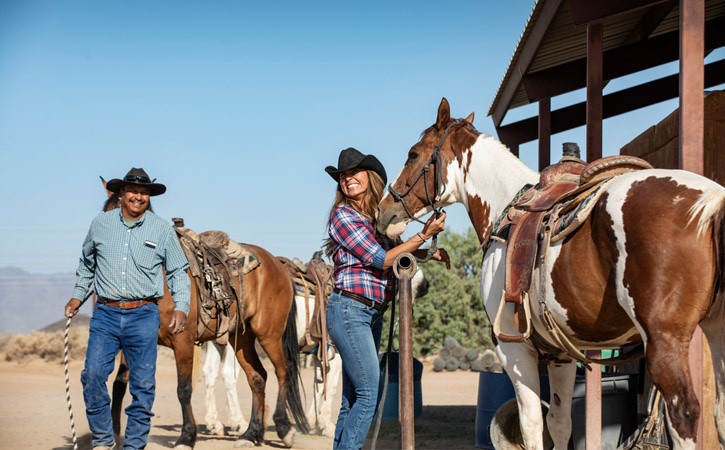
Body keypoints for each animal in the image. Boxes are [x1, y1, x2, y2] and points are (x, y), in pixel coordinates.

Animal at [99, 181, 308, 448]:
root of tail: (278, 265)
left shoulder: (183, 341)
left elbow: (184, 388)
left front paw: (187, 436)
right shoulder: (132, 340)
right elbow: (120, 384)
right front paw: (115, 435)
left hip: (268, 334)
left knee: (284, 370)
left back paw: (283, 428)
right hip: (241, 339)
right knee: (258, 377)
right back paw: (251, 434)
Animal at [376, 99, 724, 450]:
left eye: (413, 154)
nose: (384, 211)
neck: (507, 204)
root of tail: (711, 200)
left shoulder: (513, 348)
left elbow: (531, 424)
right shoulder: (561, 354)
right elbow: (559, 424)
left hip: (665, 342)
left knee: (685, 415)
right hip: (714, 331)